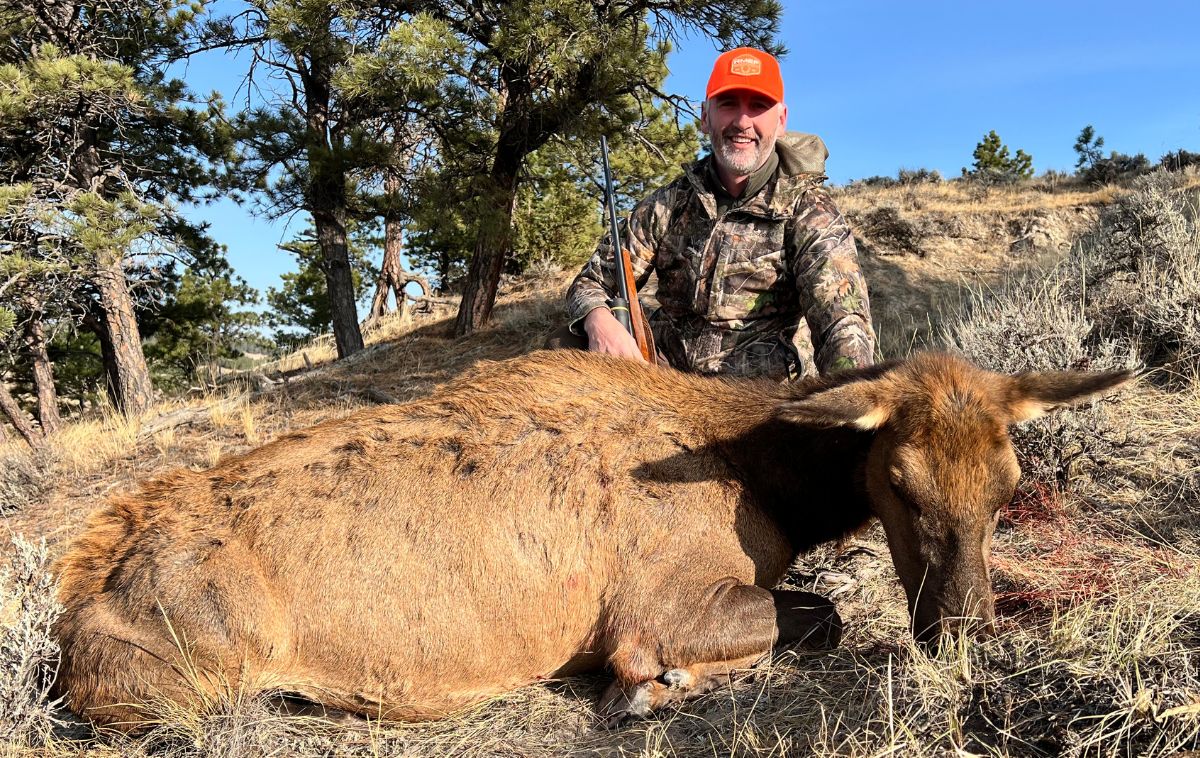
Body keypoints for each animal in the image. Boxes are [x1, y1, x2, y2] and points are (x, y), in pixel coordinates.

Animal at [52, 350, 1129, 728]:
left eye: (1010, 485)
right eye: (898, 484)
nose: (964, 627)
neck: (764, 481)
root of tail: (80, 578)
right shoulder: (661, 604)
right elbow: (802, 619)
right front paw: (650, 686)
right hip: (171, 673)